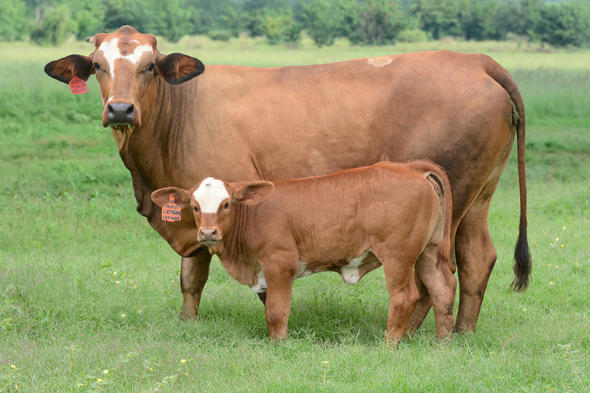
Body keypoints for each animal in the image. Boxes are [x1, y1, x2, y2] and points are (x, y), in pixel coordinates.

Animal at [150, 161, 456, 342]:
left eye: (226, 204)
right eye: (194, 206)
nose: (208, 233)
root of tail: (412, 167)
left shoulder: (279, 262)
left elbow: (277, 311)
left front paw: (278, 344)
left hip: (398, 255)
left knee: (405, 297)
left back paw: (389, 344)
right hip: (428, 252)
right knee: (442, 289)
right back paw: (443, 341)